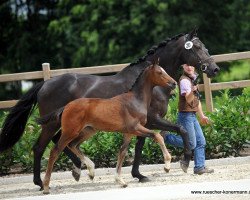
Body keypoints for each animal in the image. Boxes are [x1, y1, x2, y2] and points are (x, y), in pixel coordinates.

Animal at [38, 61, 177, 194]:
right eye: (159, 72)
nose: (174, 83)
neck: (135, 100)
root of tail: (66, 106)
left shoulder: (128, 133)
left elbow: (122, 152)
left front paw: (120, 181)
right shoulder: (136, 128)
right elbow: (157, 135)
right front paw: (167, 166)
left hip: (88, 131)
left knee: (73, 145)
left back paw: (91, 171)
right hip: (70, 132)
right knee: (55, 151)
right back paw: (45, 187)